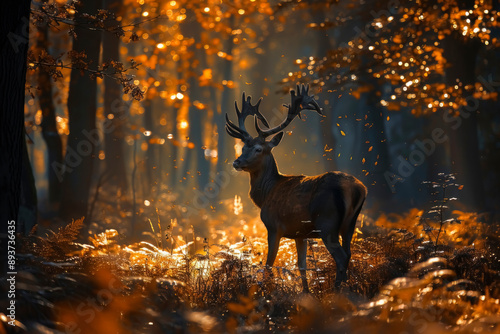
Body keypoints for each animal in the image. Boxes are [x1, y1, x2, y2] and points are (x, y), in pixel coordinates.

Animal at [227, 84, 368, 292]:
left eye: (258, 149)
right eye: (244, 147)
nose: (237, 162)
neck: (266, 194)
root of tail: (358, 189)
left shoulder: (274, 226)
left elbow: (269, 264)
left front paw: (265, 290)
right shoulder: (300, 233)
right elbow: (302, 265)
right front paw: (306, 293)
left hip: (327, 222)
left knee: (342, 257)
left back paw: (336, 291)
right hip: (349, 224)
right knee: (349, 253)